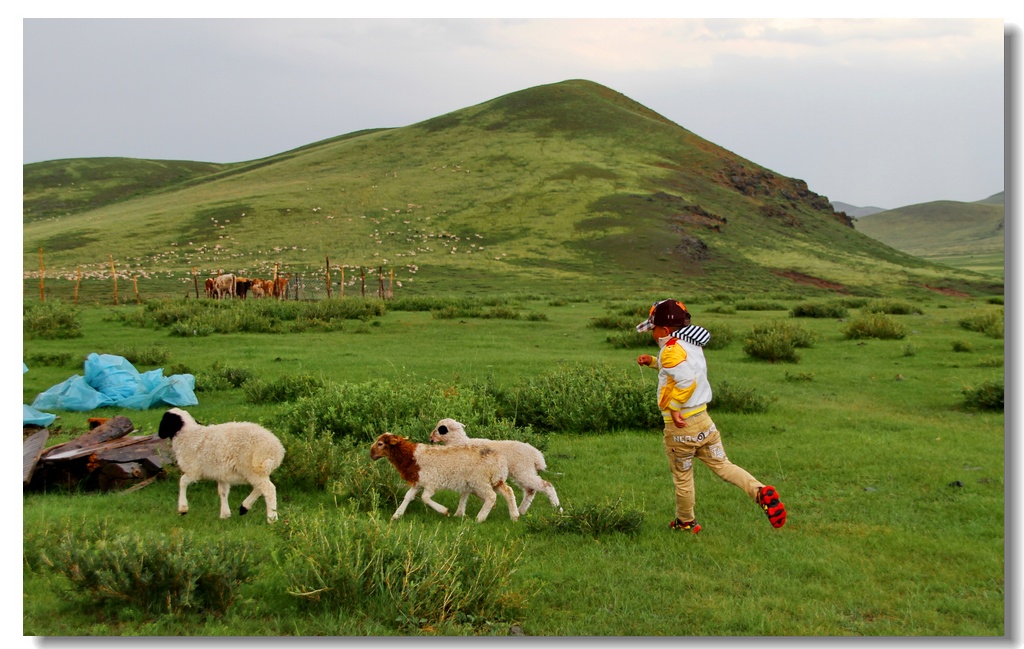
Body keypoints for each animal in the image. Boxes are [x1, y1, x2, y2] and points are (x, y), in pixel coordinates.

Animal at [159, 407, 288, 524]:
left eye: (165, 420)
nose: (159, 435)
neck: (186, 434)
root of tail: (276, 448)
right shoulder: (222, 474)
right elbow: (223, 492)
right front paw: (225, 514)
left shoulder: (193, 471)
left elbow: (182, 482)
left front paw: (183, 509)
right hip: (259, 470)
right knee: (260, 488)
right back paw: (244, 507)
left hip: (252, 468)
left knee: (268, 489)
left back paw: (272, 518)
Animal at [370, 429, 520, 524]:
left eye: (380, 444)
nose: (371, 455)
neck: (411, 457)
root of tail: (500, 460)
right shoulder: (419, 482)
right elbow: (408, 497)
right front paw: (396, 515)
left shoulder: (430, 483)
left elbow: (425, 498)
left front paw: (444, 511)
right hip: (496, 480)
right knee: (509, 492)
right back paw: (514, 516)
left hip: (480, 481)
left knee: (491, 496)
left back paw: (480, 518)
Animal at [428, 419, 565, 515]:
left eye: (442, 429)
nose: (431, 438)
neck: (459, 442)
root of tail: (537, 455)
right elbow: (466, 492)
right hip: (523, 472)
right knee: (530, 490)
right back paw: (521, 510)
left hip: (523, 470)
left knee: (546, 486)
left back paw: (557, 508)